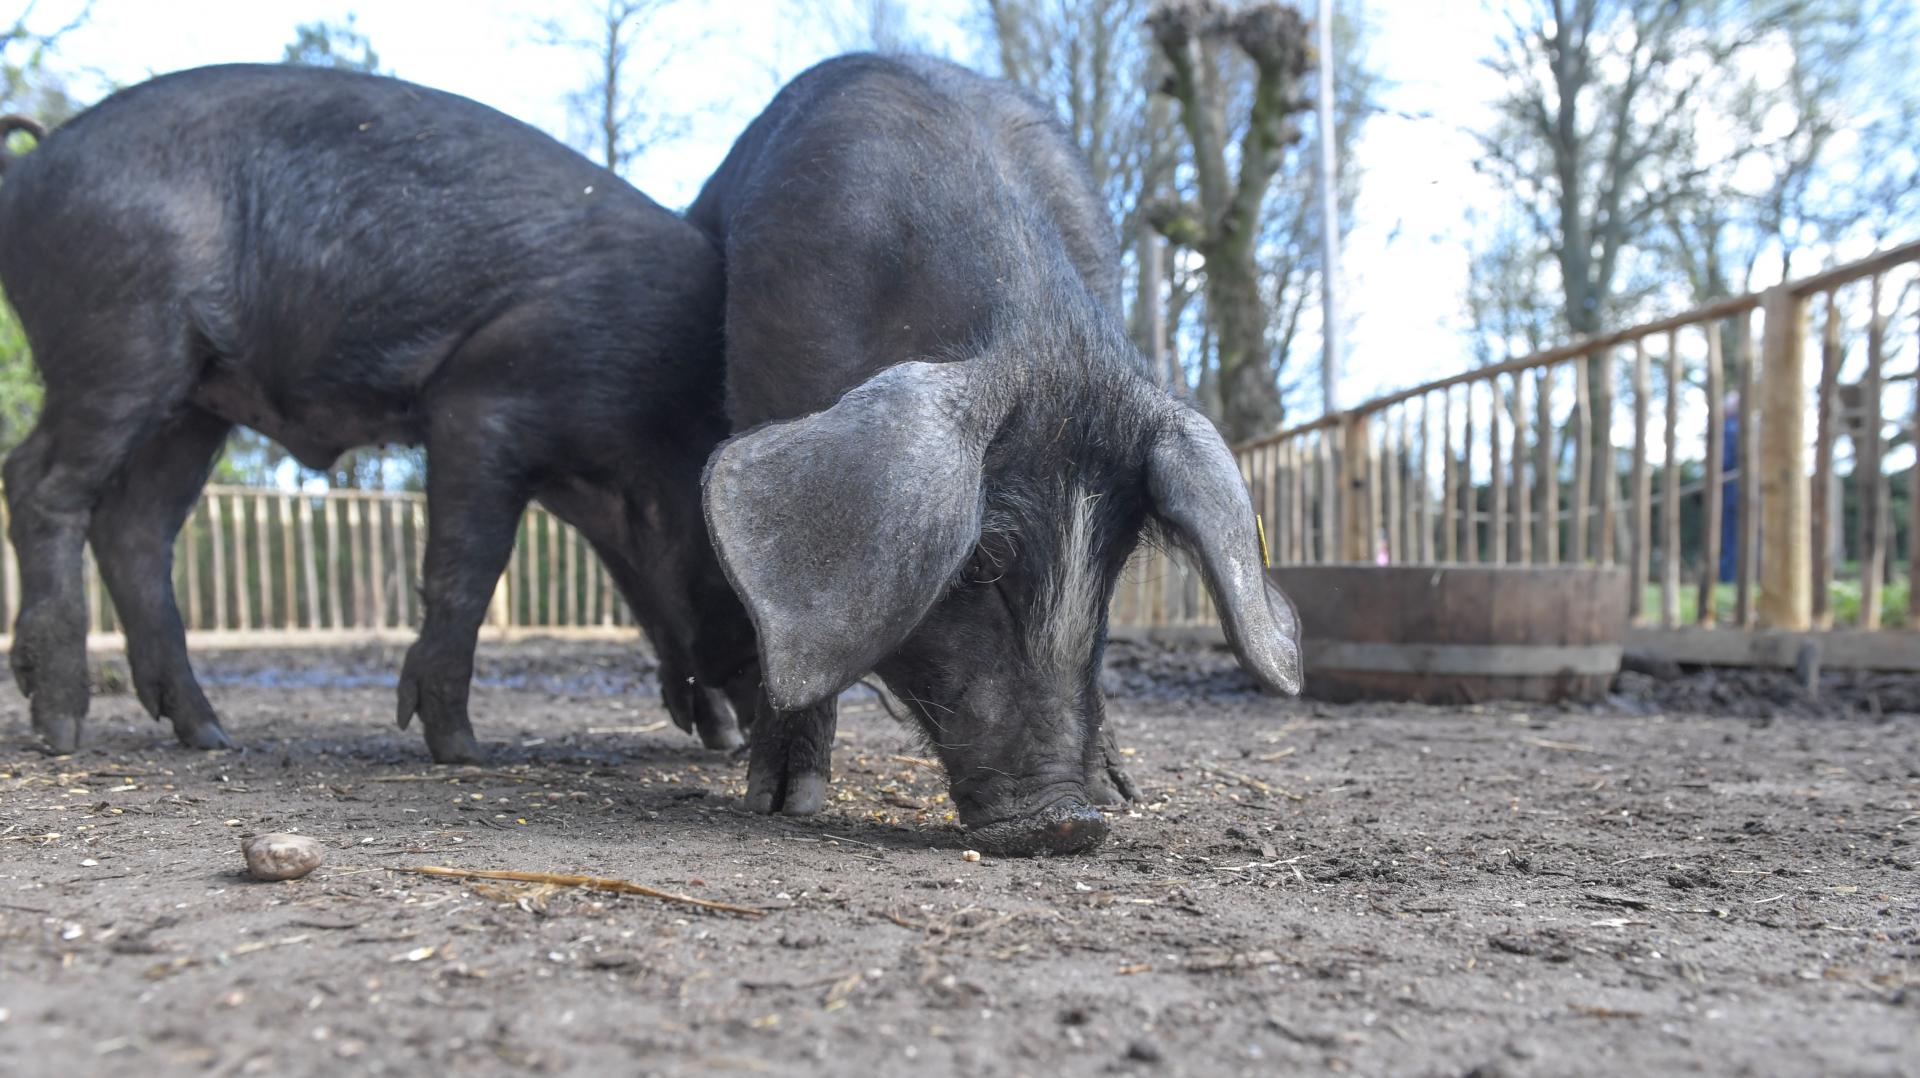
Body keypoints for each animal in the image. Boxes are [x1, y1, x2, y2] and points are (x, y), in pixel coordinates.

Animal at [0, 65, 760, 757]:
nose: (751, 732)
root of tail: (31, 164)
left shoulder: (598, 498)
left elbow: (649, 596)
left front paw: (715, 732)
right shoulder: (483, 402)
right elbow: (467, 567)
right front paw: (461, 748)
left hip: (197, 396)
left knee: (136, 527)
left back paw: (210, 735)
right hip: (120, 341)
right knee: (39, 482)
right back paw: (63, 731)